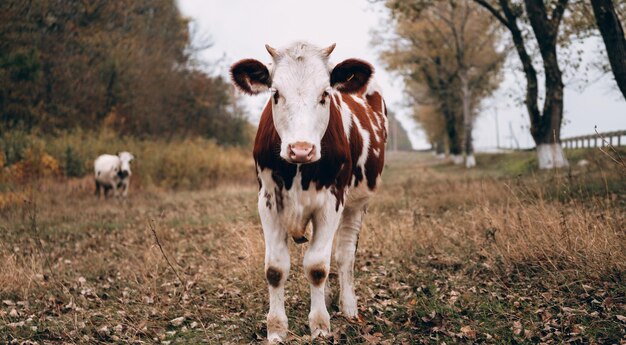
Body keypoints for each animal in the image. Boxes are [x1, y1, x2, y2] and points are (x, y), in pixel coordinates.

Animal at [229, 41, 386, 340]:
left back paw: (348, 306)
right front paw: (276, 329)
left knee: (345, 254)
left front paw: (320, 326)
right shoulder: (267, 201)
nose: (301, 149)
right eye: (275, 93)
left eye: (325, 93)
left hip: (357, 203)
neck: (298, 171)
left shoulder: (331, 202)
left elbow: (317, 267)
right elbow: (275, 268)